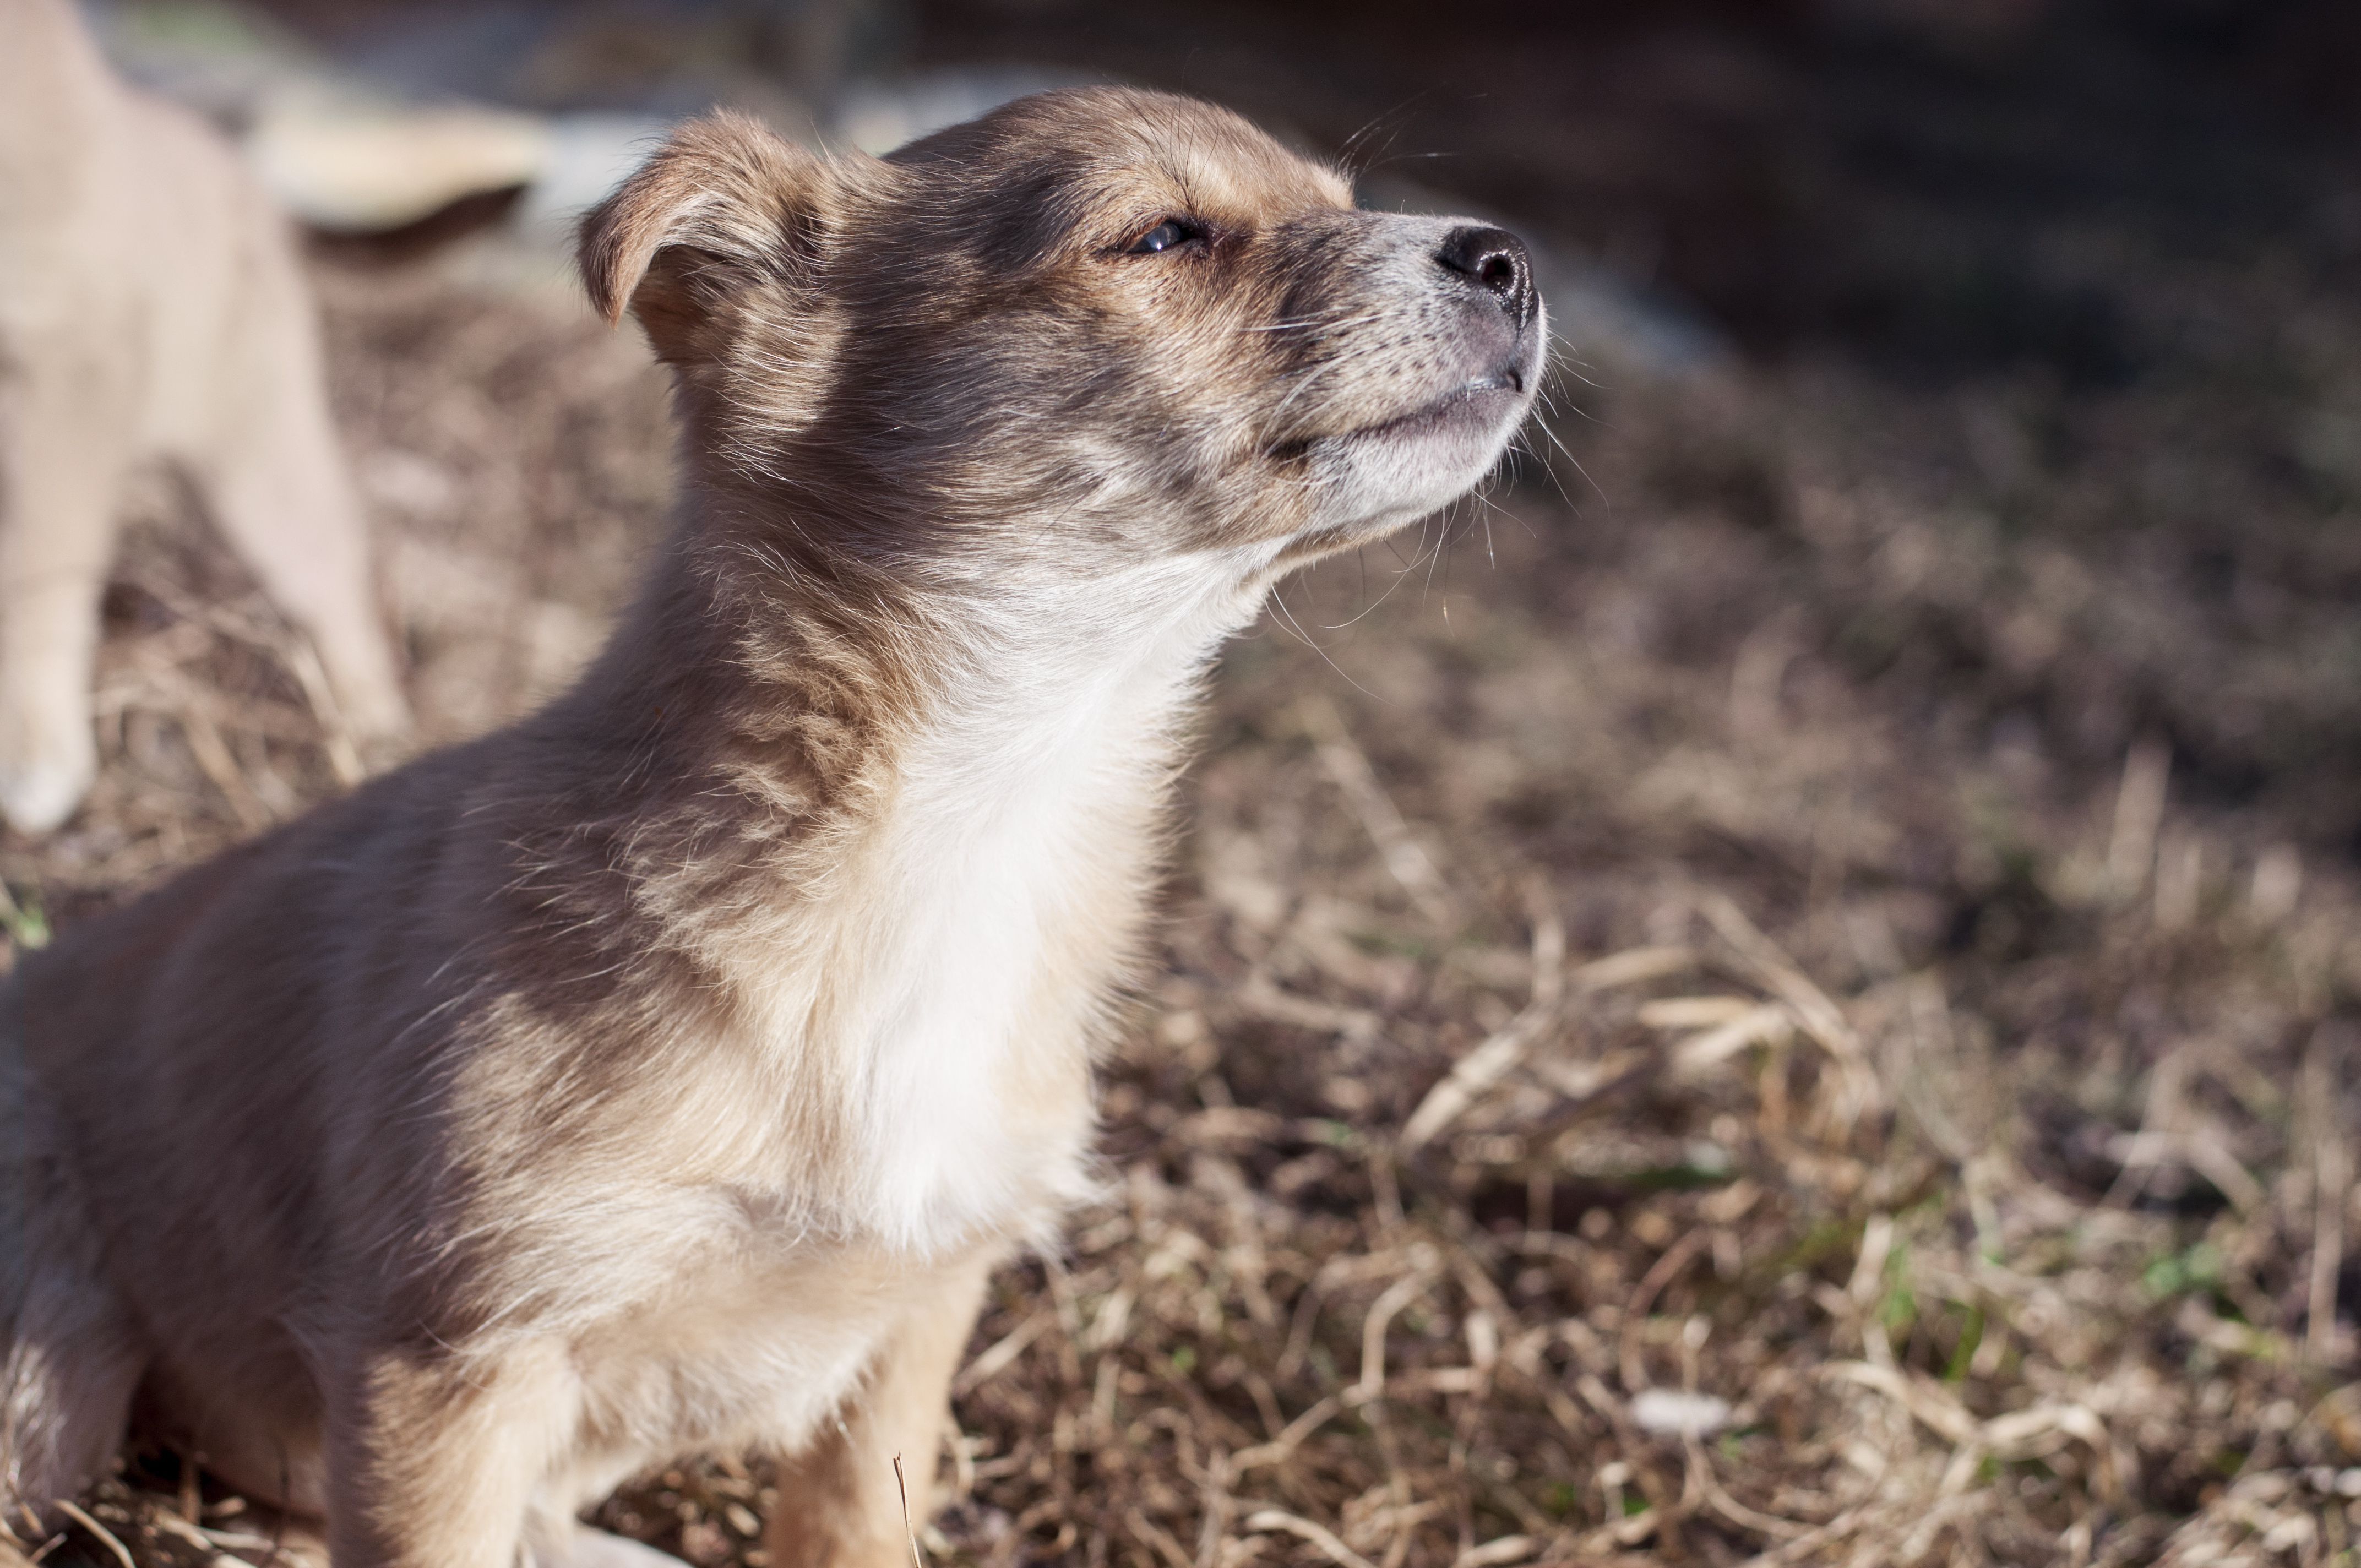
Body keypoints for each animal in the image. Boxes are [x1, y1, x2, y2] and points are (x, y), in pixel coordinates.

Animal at [0, 0, 406, 831]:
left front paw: (33, 749)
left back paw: (371, 735)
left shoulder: (66, 362)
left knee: (332, 573)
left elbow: (36, 573)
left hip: (256, 457)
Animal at [0, 88, 1539, 1567]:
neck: (974, 807)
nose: (1508, 257)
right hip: (51, 1382)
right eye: (1160, 236)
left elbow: (854, 1519)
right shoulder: (447, 1355)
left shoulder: (921, 1306)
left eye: (1341, 200)